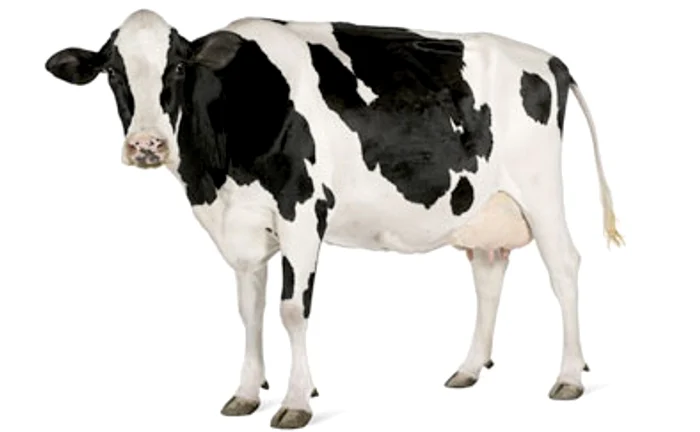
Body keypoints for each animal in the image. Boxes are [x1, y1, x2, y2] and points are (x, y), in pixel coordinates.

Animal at [44, 9, 624, 429]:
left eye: (180, 67)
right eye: (113, 71)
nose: (146, 145)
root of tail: (549, 58)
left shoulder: (302, 212)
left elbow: (291, 311)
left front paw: (297, 401)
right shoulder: (242, 227)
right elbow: (249, 312)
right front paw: (246, 392)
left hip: (541, 191)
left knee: (564, 268)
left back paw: (569, 376)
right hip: (483, 207)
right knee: (488, 273)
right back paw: (468, 369)